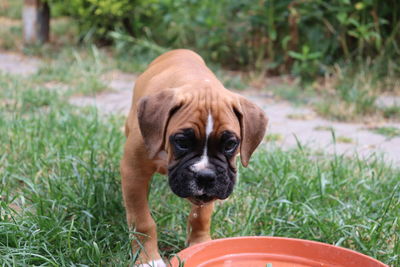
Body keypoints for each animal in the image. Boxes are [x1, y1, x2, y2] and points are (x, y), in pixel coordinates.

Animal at [119, 49, 268, 266]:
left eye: (230, 145)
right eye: (182, 142)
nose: (205, 176)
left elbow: (200, 217)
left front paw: (200, 244)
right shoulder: (134, 171)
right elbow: (142, 221)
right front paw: (148, 259)